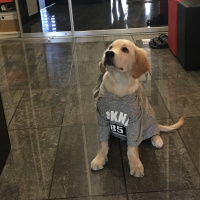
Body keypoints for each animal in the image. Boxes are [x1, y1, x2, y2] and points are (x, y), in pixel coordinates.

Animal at [90, 39, 184, 178]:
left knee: (155, 130)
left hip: (149, 117)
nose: (108, 53)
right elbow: (102, 143)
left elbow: (132, 148)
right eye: (110, 47)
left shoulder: (135, 120)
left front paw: (135, 165)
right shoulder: (102, 118)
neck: (118, 82)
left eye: (125, 50)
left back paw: (156, 139)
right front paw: (100, 158)